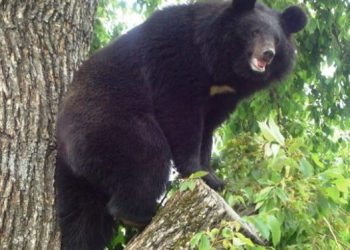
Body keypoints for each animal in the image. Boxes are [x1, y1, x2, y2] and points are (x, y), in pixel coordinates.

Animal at [54, 0, 306, 248]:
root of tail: (64, 142)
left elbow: (208, 131)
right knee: (148, 153)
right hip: (109, 122)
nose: (268, 54)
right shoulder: (176, 60)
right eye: (254, 31)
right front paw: (198, 172)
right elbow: (181, 116)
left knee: (82, 216)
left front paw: (214, 178)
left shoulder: (223, 96)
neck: (221, 68)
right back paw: (140, 213)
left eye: (277, 40)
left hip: (74, 176)